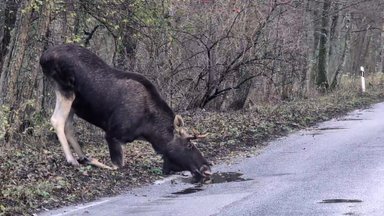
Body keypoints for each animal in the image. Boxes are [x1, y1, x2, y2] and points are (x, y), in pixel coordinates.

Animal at [40, 44, 212, 179]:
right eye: (189, 145)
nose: (207, 168)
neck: (148, 130)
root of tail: (43, 57)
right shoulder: (112, 135)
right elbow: (118, 166)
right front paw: (92, 160)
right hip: (65, 90)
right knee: (57, 120)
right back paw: (73, 159)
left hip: (73, 101)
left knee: (68, 125)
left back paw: (81, 156)